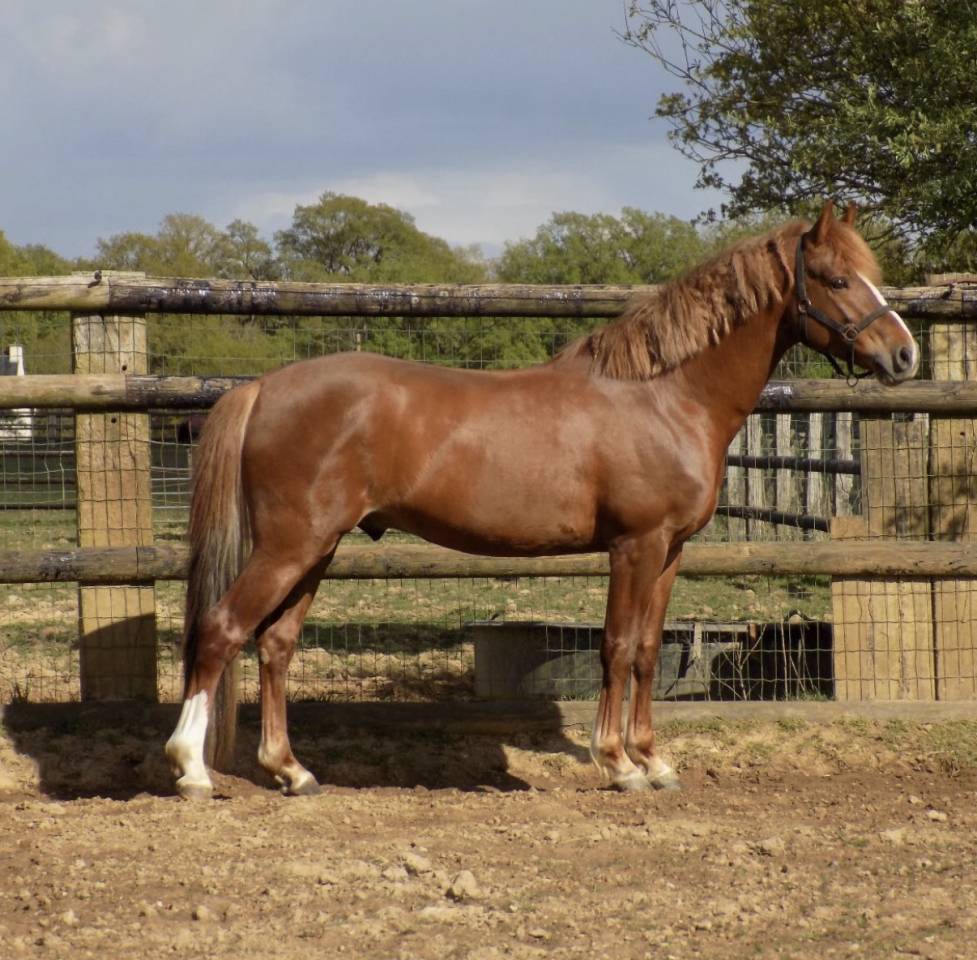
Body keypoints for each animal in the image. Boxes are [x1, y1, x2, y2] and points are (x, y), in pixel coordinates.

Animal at [165, 201, 918, 799]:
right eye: (836, 279)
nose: (905, 356)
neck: (663, 396)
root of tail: (262, 387)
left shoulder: (670, 551)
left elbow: (649, 651)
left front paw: (655, 761)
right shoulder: (634, 546)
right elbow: (617, 647)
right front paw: (618, 764)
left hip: (315, 551)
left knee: (275, 646)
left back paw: (291, 771)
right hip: (291, 546)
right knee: (222, 631)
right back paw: (193, 771)